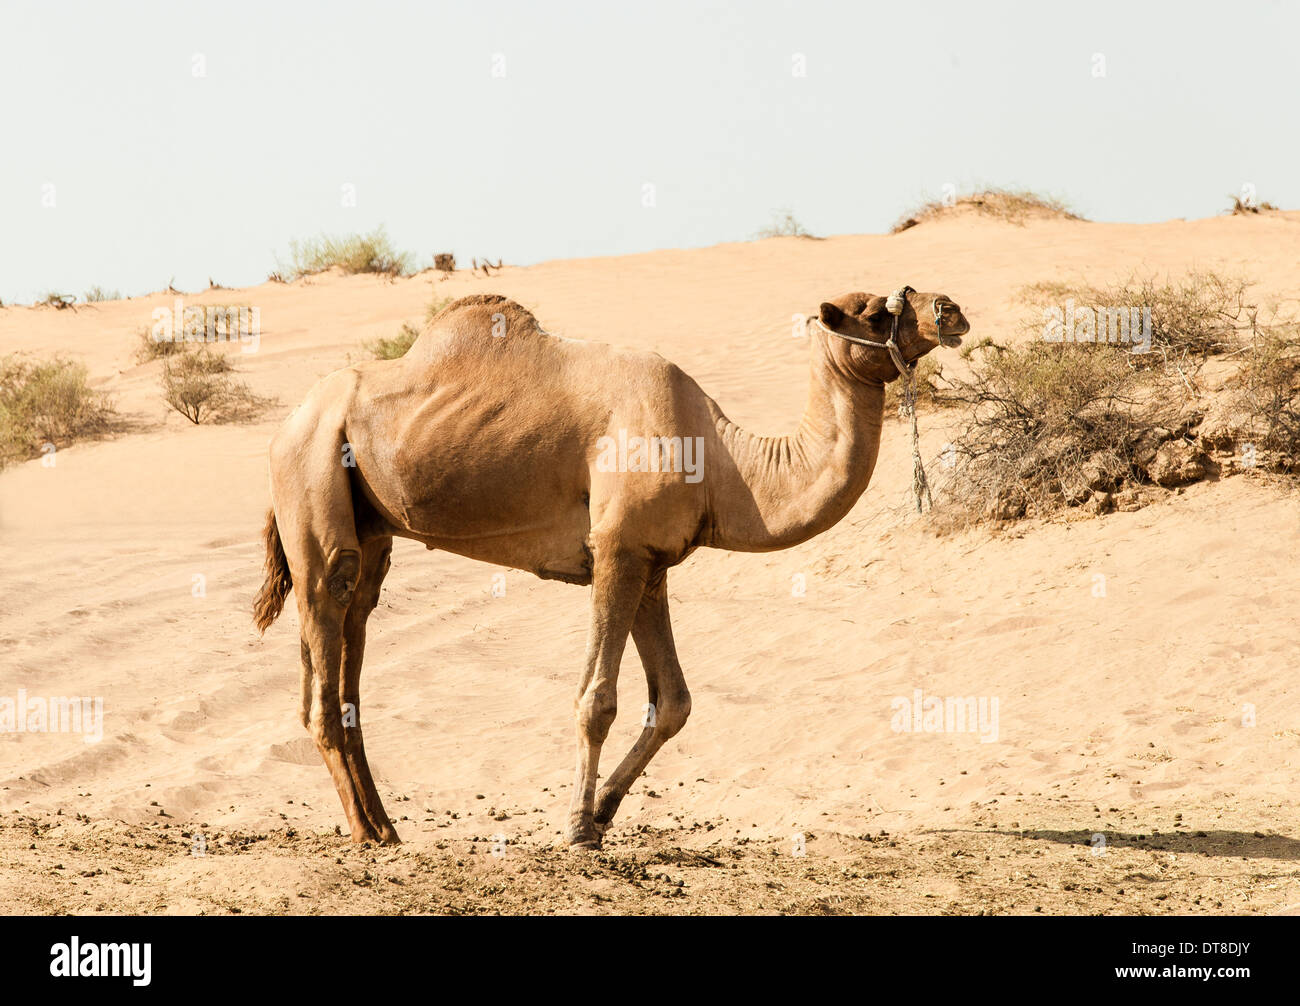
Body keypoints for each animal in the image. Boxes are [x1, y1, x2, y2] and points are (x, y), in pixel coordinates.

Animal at [250, 289, 967, 852]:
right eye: (874, 311)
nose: (950, 309)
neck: (724, 461)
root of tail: (287, 426)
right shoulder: (616, 551)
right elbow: (597, 700)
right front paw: (575, 826)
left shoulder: (651, 562)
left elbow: (673, 702)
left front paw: (601, 814)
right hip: (313, 482)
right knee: (327, 637)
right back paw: (364, 832)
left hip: (370, 529)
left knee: (353, 635)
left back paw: (386, 828)